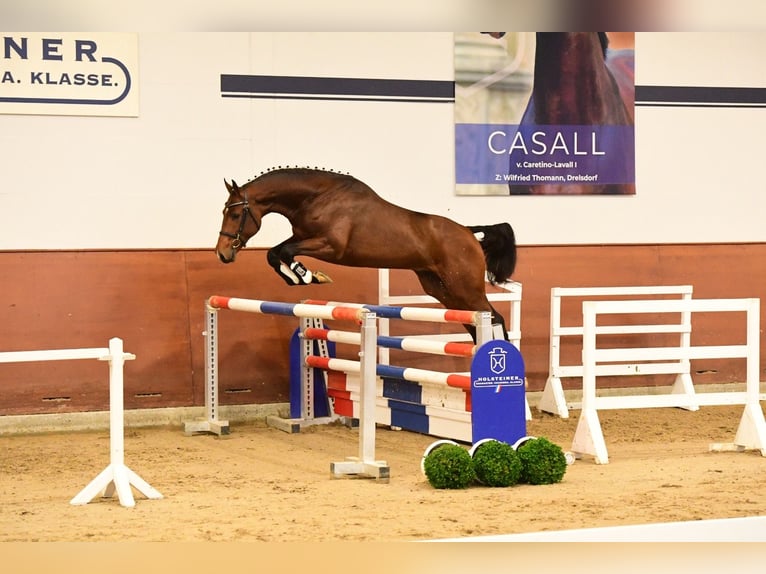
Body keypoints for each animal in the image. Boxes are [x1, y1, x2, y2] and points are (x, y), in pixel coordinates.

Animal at [213, 166, 520, 340]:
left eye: (236, 214)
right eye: (224, 211)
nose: (222, 253)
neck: (317, 196)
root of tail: (469, 233)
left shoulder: (330, 246)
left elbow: (285, 252)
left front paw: (308, 276)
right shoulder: (302, 237)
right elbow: (275, 253)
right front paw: (298, 277)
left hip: (465, 288)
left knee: (494, 318)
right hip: (443, 289)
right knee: (475, 323)